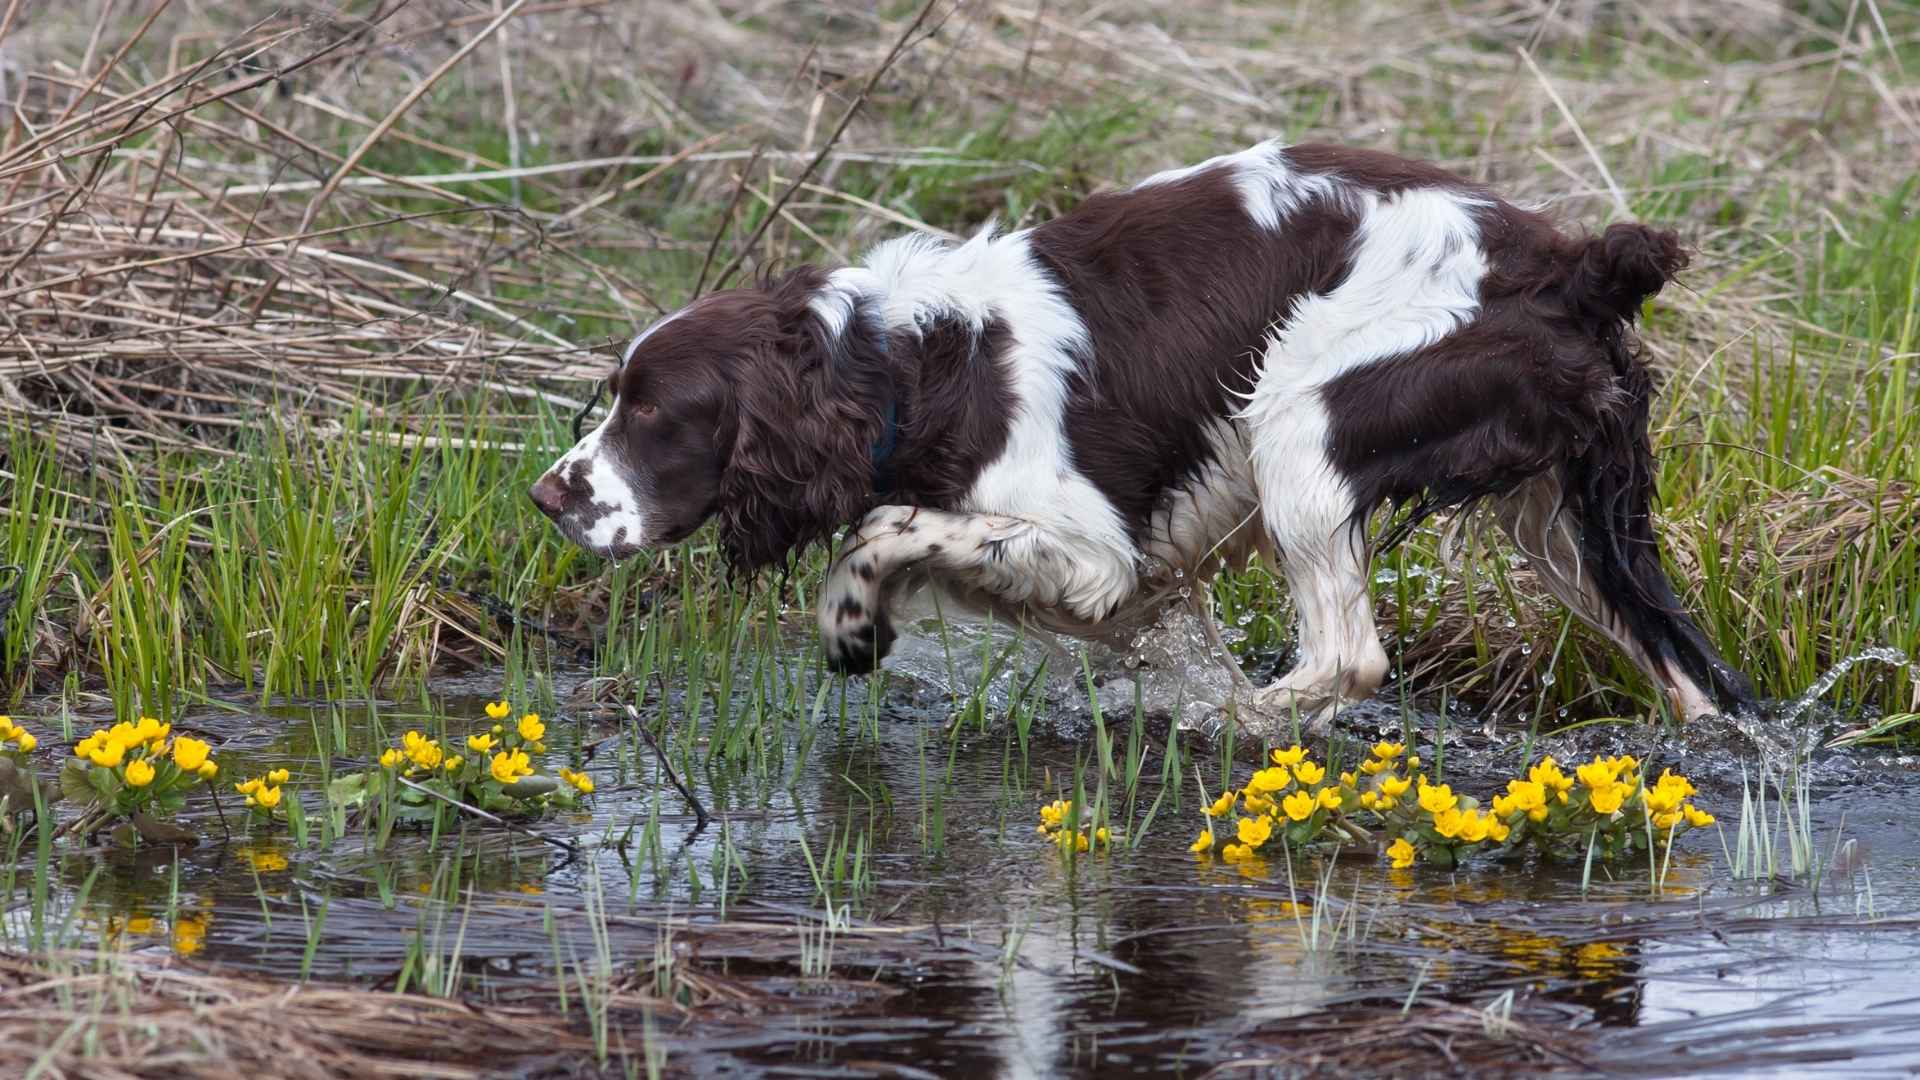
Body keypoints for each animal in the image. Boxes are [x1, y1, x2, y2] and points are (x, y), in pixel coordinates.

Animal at [533, 136, 1758, 722]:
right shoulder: (1137, 587)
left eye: (653, 410)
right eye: (619, 390)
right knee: (1694, 681)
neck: (915, 366)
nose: (549, 496)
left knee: (1347, 657)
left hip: (1298, 418)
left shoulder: (1097, 554)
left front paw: (851, 624)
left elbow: (886, 527)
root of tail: (1572, 262)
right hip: (1575, 521)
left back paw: (1245, 730)